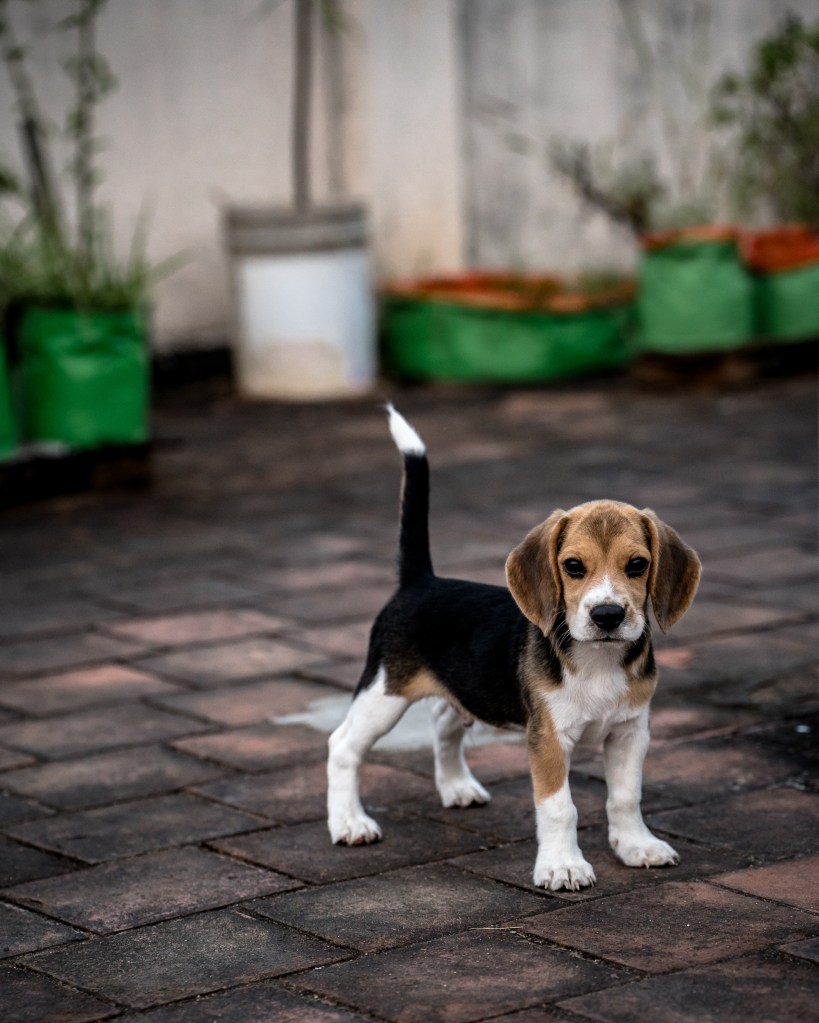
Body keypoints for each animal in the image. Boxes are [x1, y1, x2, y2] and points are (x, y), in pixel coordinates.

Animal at [329, 405, 699, 887]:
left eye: (637, 565)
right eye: (573, 566)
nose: (608, 615)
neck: (596, 658)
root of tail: (420, 580)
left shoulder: (629, 731)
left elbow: (626, 797)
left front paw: (637, 846)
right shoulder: (548, 738)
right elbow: (560, 807)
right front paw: (563, 865)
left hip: (460, 686)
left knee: (444, 721)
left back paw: (457, 787)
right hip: (383, 694)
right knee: (343, 747)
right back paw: (349, 823)